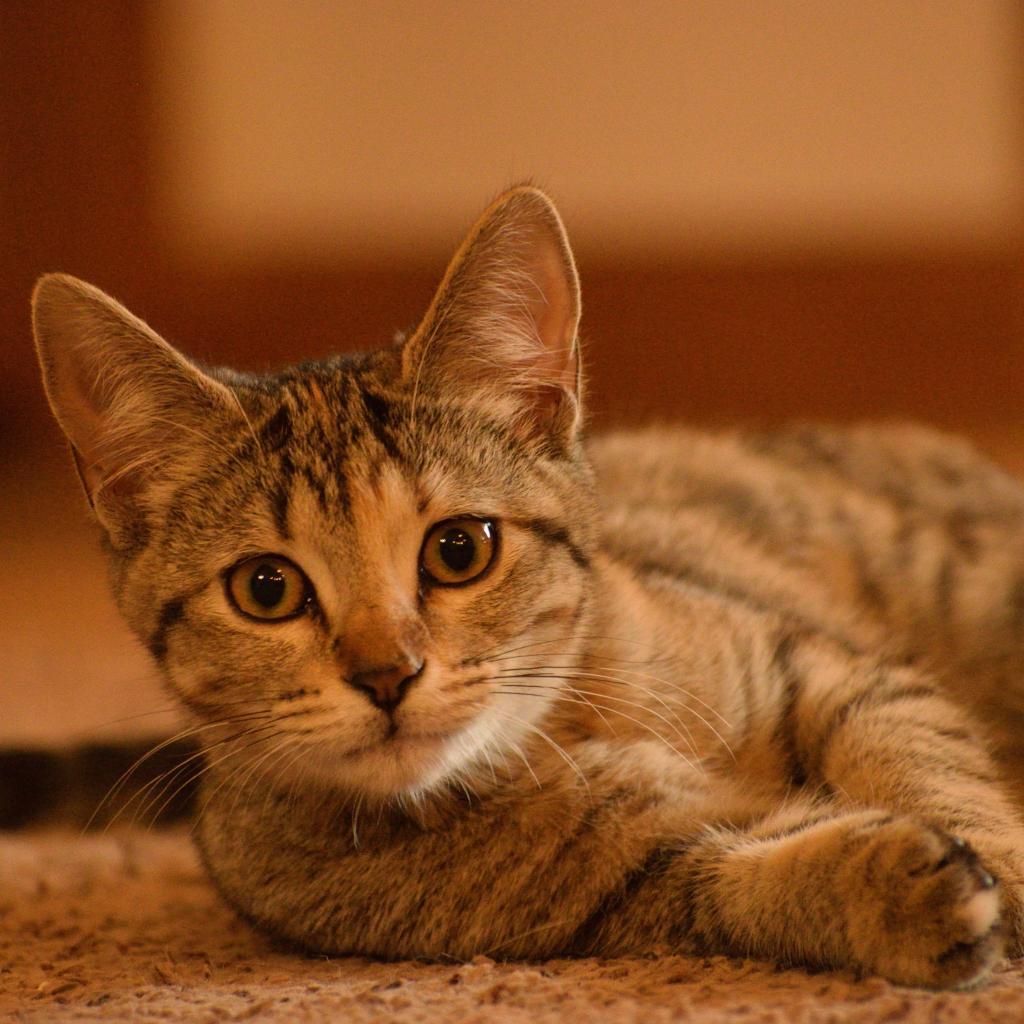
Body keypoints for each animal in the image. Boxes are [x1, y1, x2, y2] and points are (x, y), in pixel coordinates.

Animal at [28, 186, 1024, 991]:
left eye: (458, 550)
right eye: (266, 589)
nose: (387, 674)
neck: (557, 733)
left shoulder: (825, 667)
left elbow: (919, 752)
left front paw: (995, 857)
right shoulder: (635, 884)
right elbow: (745, 880)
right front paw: (892, 893)